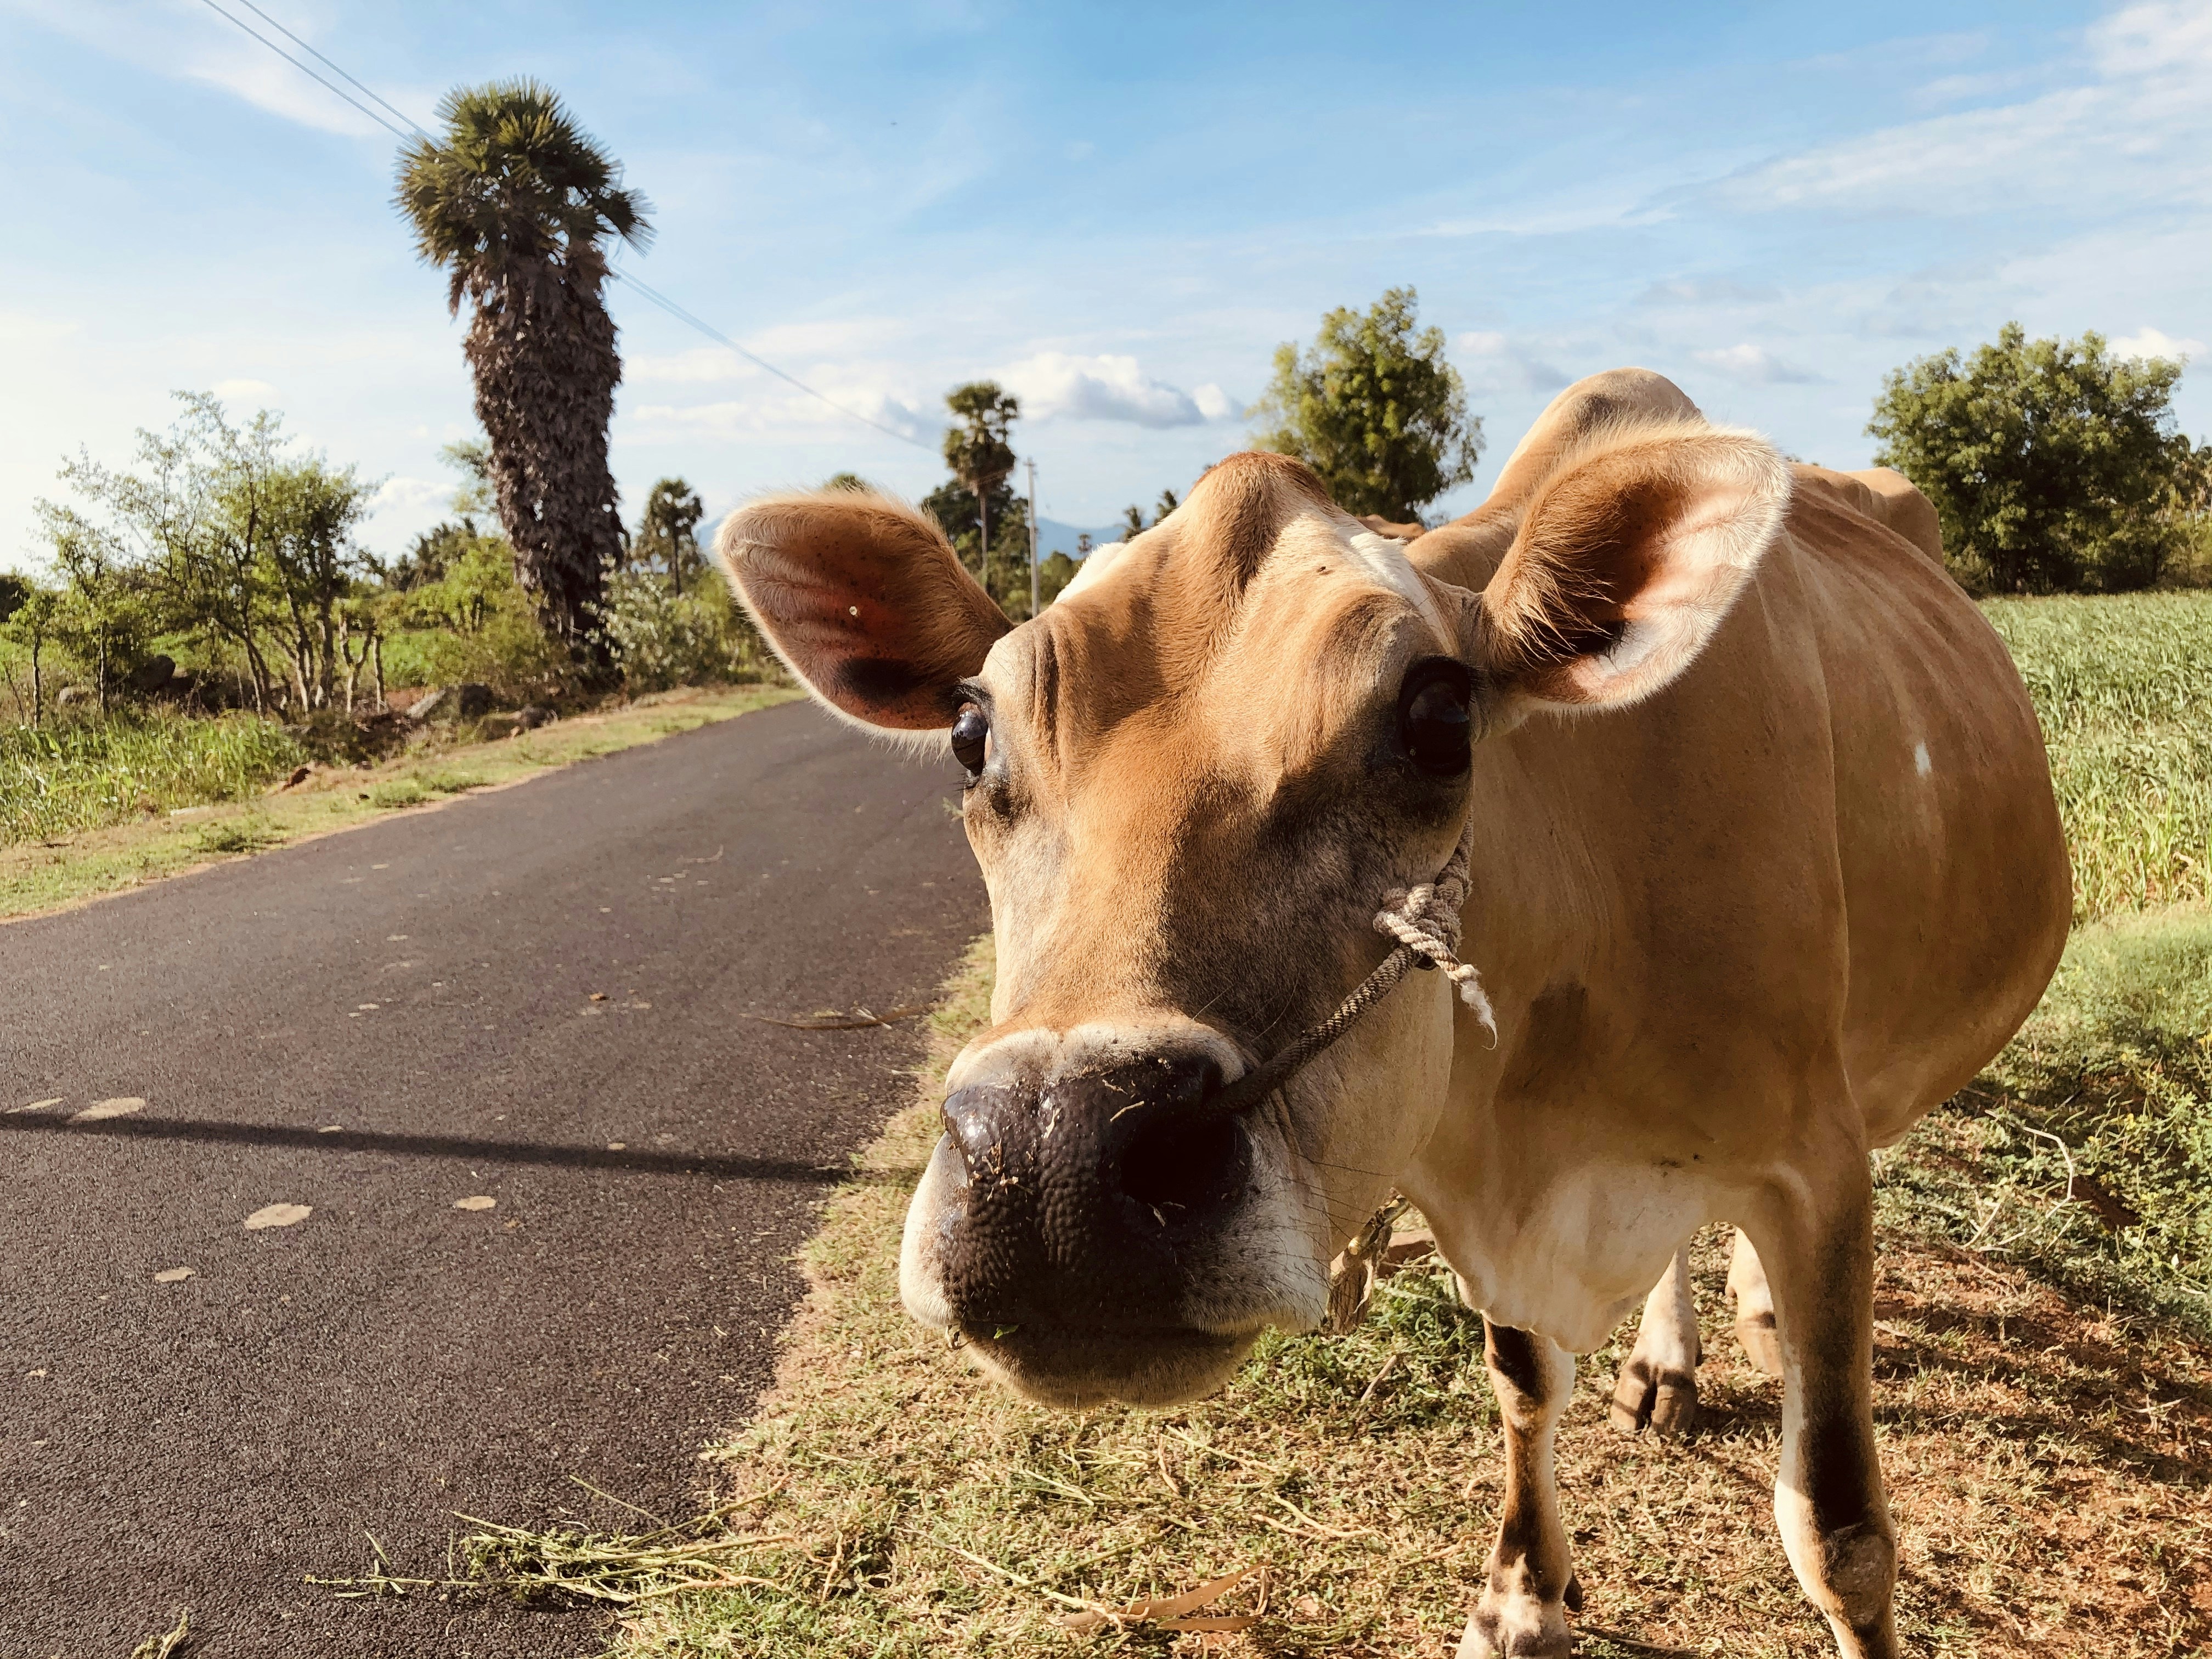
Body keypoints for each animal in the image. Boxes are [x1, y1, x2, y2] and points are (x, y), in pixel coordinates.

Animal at [715, 369, 2070, 1659]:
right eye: (967, 733)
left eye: (1439, 717)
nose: (1052, 1168)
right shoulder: (1469, 1181)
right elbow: (1523, 1383)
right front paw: (1521, 1600)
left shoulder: (1818, 1165)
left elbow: (1837, 1529)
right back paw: (1667, 1359)